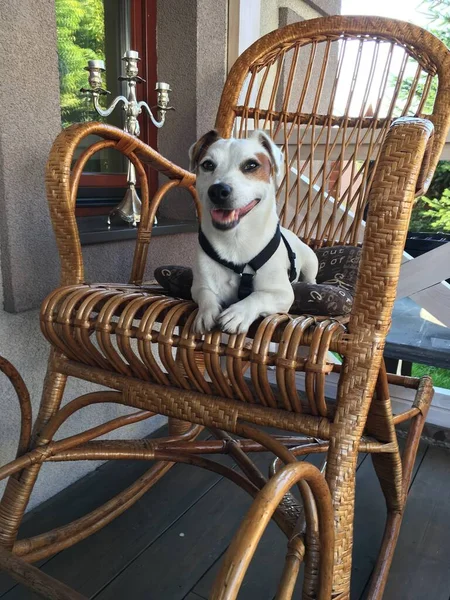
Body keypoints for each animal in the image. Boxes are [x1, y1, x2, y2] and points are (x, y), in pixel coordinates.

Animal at [188, 129, 318, 336]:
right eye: (208, 164)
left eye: (251, 165)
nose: (218, 190)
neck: (235, 241)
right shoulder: (199, 285)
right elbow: (206, 295)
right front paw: (206, 312)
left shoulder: (282, 293)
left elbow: (259, 296)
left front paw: (238, 313)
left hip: (311, 261)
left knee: (311, 277)